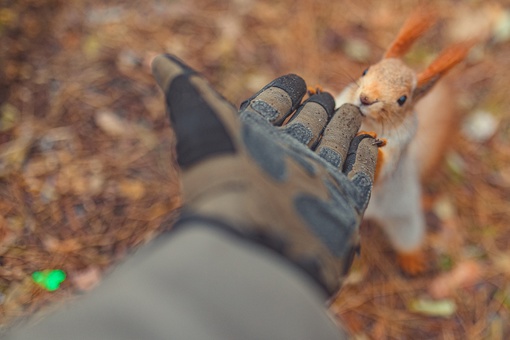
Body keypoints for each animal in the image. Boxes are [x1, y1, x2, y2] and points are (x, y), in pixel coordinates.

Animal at [334, 9, 474, 276]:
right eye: (365, 70)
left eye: (402, 99)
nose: (365, 98)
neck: (368, 121)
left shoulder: (399, 146)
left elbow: (383, 171)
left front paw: (375, 148)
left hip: (405, 218)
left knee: (408, 237)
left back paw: (412, 259)